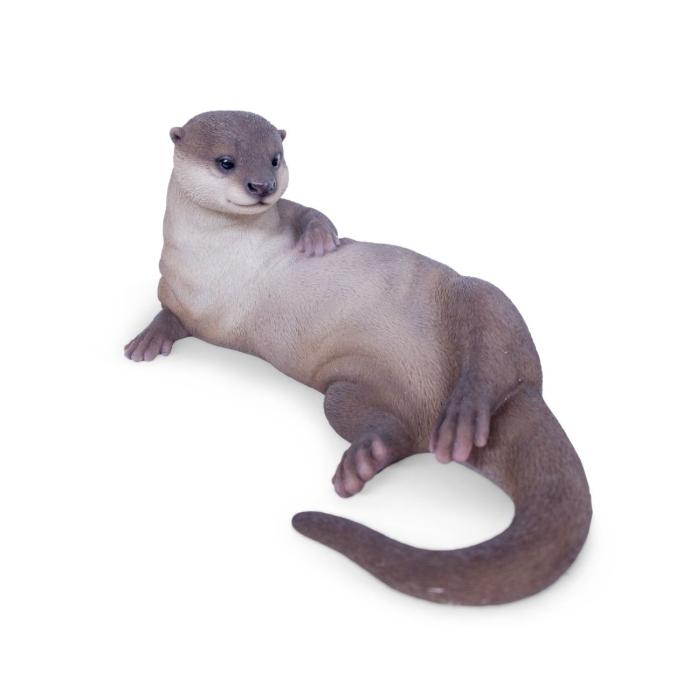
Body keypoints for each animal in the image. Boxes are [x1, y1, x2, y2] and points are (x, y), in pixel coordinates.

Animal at [125, 110, 592, 605]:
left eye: (275, 158)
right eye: (226, 161)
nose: (262, 186)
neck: (223, 261)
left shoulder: (285, 213)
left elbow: (310, 212)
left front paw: (318, 239)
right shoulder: (181, 293)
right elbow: (171, 315)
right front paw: (147, 340)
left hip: (480, 302)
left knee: (493, 360)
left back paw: (465, 415)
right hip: (355, 386)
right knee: (393, 431)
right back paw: (369, 455)